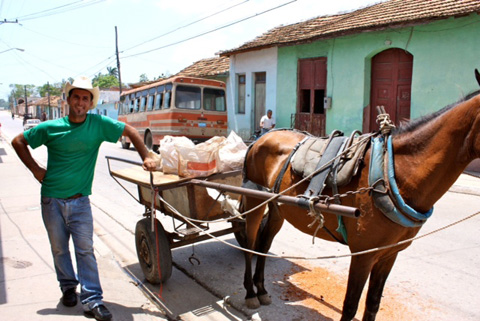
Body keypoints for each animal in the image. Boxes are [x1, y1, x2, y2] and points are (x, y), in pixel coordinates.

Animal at [242, 86, 480, 318]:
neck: (392, 173)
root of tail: (259, 140)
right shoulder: (363, 255)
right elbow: (350, 305)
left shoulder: (389, 254)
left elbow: (373, 303)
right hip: (254, 200)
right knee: (249, 244)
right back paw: (250, 293)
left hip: (277, 208)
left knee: (263, 244)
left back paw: (261, 289)